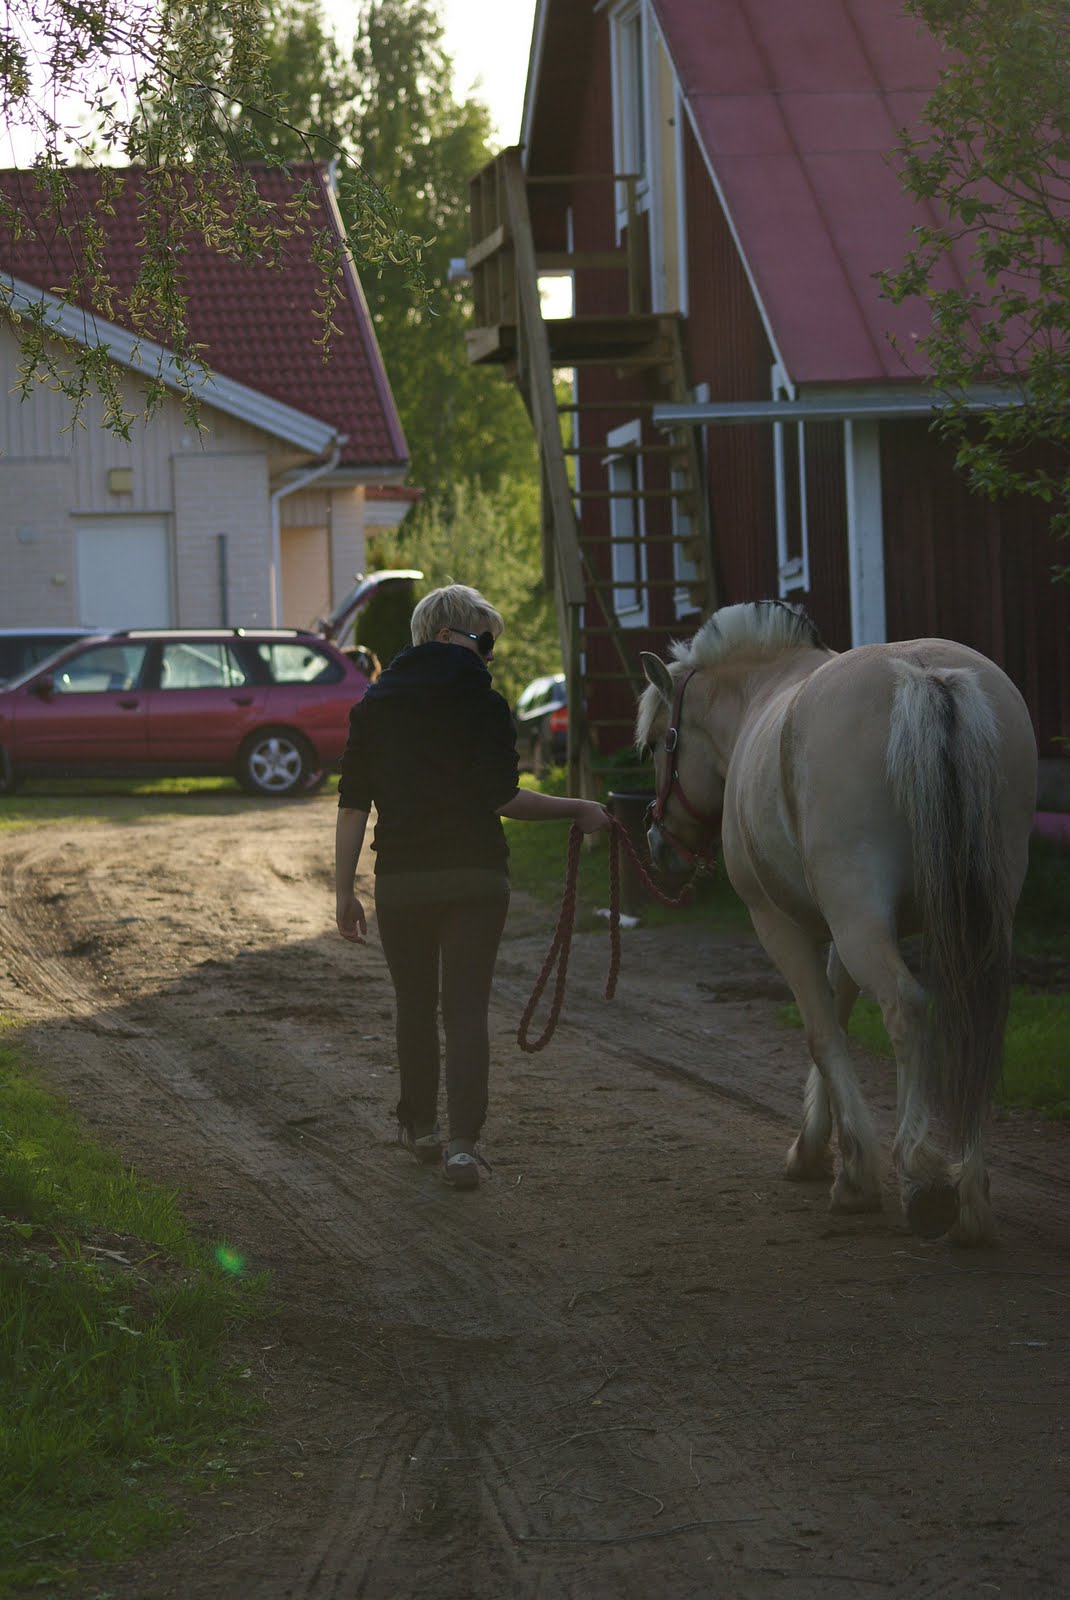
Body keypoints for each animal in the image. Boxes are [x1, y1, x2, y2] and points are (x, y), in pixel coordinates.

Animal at [636, 601, 1038, 1246]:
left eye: (654, 746)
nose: (658, 845)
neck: (761, 693)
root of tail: (926, 676)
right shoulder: (841, 934)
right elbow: (840, 1018)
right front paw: (818, 1148)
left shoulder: (783, 926)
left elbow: (822, 1031)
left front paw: (854, 1175)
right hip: (971, 919)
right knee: (977, 1015)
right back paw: (972, 1198)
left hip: (861, 922)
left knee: (906, 1006)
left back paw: (922, 1177)